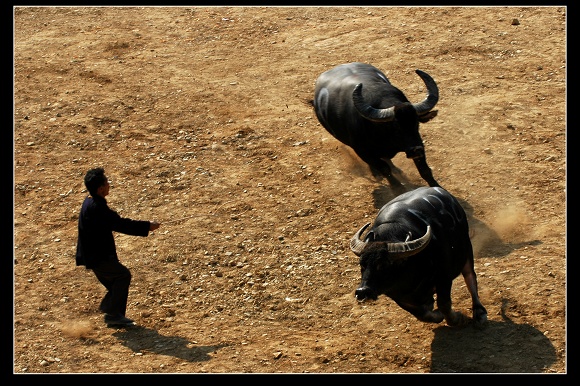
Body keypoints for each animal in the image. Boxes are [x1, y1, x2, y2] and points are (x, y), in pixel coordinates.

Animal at [312, 62, 440, 190]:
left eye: (416, 122)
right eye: (394, 126)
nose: (416, 150)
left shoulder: (417, 142)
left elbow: (424, 170)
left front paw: (437, 187)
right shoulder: (363, 152)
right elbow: (384, 169)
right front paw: (397, 188)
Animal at [352, 187, 488, 326]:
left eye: (383, 264)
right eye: (362, 264)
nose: (362, 291)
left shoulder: (444, 277)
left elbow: (444, 304)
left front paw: (457, 319)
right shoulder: (397, 295)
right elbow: (420, 313)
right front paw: (436, 314)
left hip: (467, 249)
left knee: (470, 277)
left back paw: (479, 312)